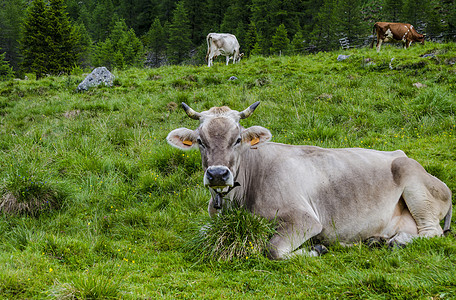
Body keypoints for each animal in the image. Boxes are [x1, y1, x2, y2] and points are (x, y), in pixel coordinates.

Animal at [167, 103, 452, 260]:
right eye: (200, 141)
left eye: (237, 140)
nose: (217, 174)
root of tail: (401, 154)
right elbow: (203, 232)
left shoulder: (305, 219)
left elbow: (272, 249)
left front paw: (316, 250)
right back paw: (378, 240)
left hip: (414, 184)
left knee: (432, 232)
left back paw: (396, 242)